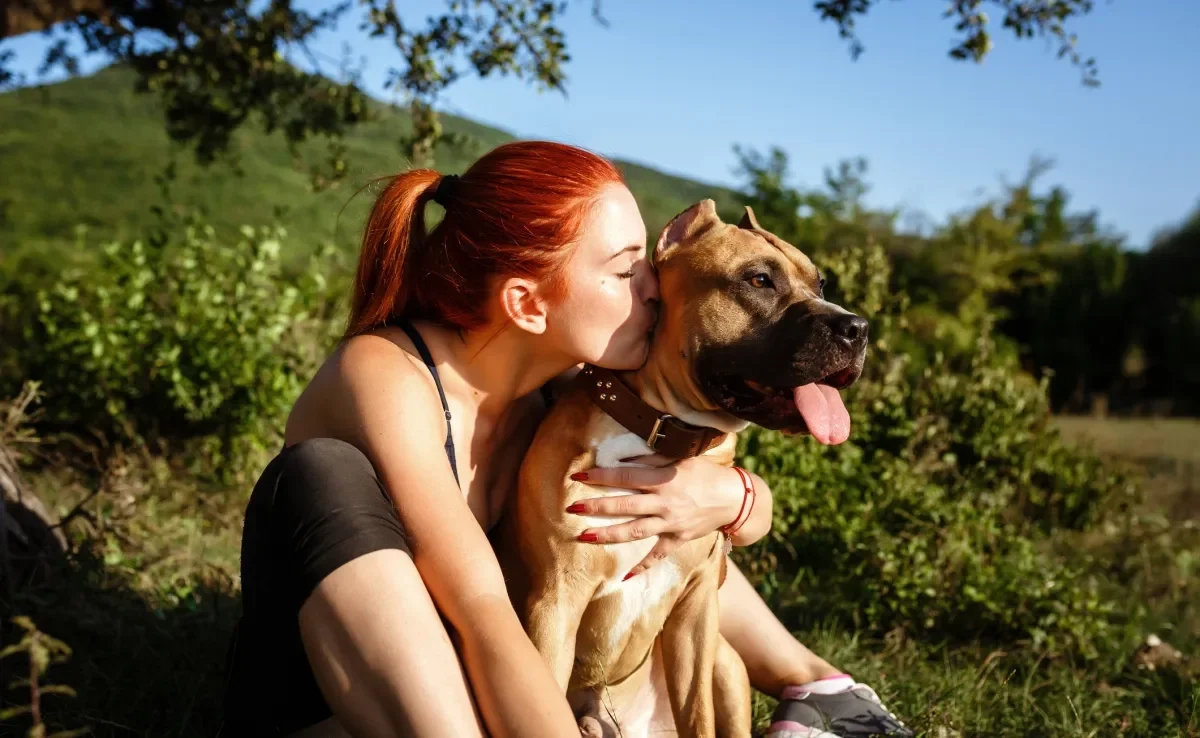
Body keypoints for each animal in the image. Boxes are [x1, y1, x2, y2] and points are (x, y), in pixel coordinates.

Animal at [499, 199, 873, 734]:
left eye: (821, 284)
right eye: (759, 280)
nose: (857, 327)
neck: (658, 431)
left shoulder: (697, 613)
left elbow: (698, 714)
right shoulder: (555, 605)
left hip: (727, 665)